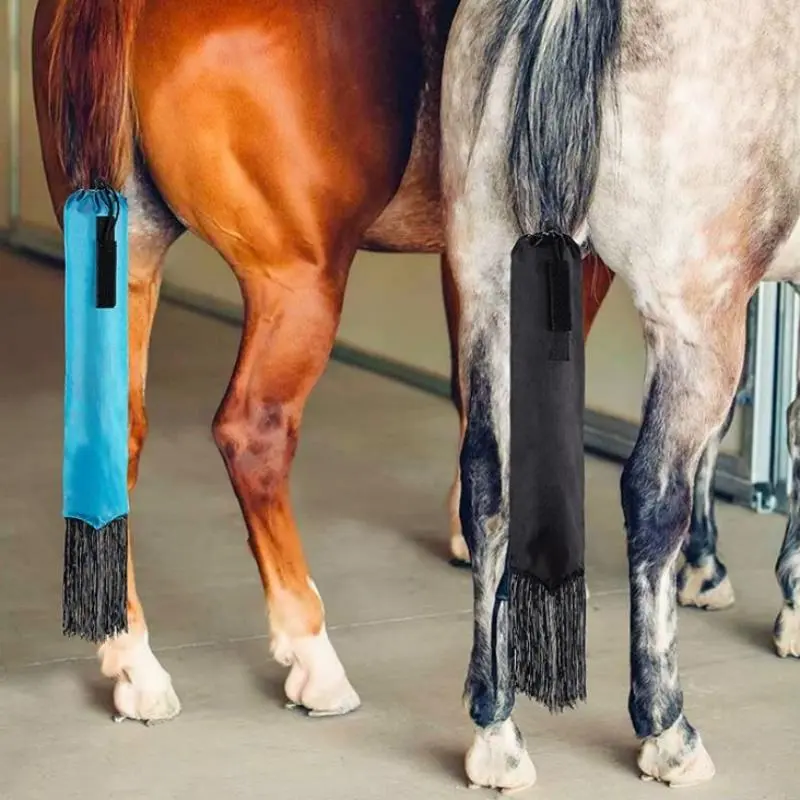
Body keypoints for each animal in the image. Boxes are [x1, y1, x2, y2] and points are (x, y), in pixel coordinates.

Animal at [32, 0, 619, 726]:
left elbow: (472, 389)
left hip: (126, 260)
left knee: (114, 437)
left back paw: (135, 664)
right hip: (298, 282)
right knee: (252, 434)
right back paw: (313, 658)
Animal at [441, 0, 800, 791]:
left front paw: (709, 569)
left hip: (488, 284)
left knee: (486, 482)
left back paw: (496, 732)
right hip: (696, 317)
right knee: (651, 492)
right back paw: (668, 731)